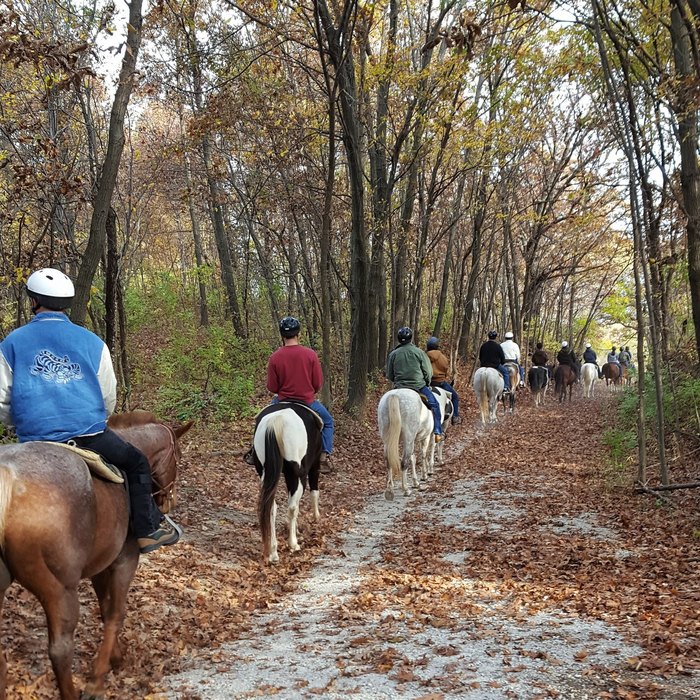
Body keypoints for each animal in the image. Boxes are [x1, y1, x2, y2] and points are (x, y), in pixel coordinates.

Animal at [0, 410, 191, 700]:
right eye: (178, 457)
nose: (171, 500)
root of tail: (10, 478)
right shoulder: (124, 561)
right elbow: (115, 613)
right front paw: (98, 680)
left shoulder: (101, 565)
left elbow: (104, 608)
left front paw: (115, 658)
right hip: (59, 589)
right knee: (60, 649)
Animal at [252, 402, 322, 560]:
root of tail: (275, 421)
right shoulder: (314, 464)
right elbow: (313, 491)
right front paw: (316, 516)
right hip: (296, 474)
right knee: (292, 507)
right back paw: (293, 544)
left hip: (265, 473)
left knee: (271, 506)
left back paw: (272, 551)